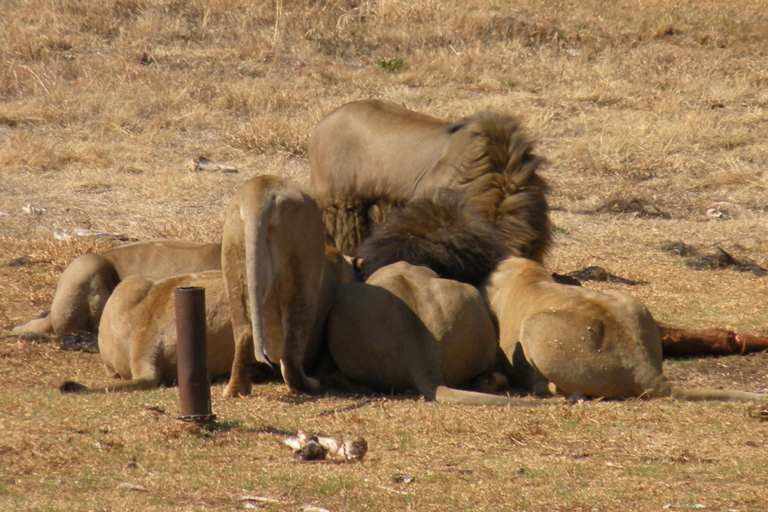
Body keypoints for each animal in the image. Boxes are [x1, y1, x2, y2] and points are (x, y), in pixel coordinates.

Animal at [219, 174, 356, 398]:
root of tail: (260, 189)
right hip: (302, 268)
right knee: (291, 352)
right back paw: (308, 386)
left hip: (235, 260)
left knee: (245, 334)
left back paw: (236, 390)